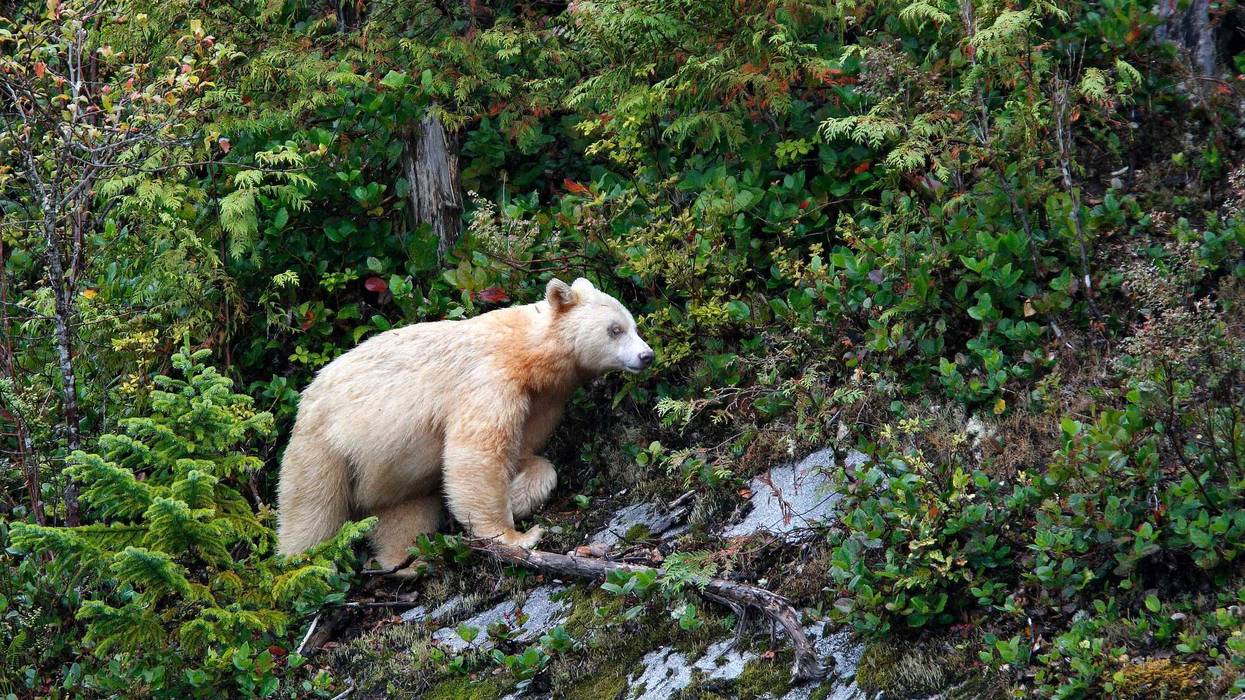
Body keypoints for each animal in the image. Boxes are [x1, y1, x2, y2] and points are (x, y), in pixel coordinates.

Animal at [276, 277, 654, 568]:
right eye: (615, 330)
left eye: (634, 325)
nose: (646, 355)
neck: (525, 352)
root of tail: (306, 396)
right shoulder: (488, 381)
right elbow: (478, 457)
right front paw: (518, 536)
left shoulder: (541, 400)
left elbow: (525, 454)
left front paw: (519, 495)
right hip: (324, 445)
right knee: (310, 508)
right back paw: (304, 563)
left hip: (389, 473)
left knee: (403, 513)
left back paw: (401, 561)